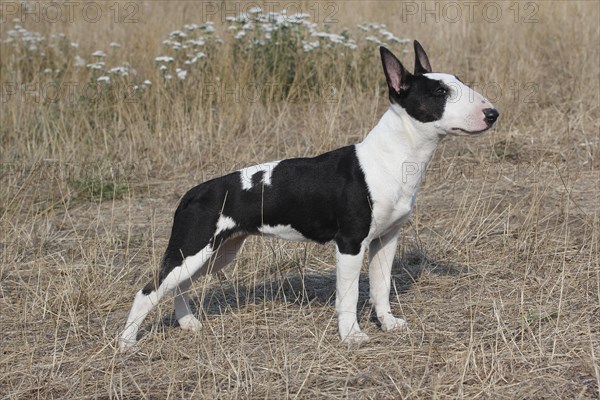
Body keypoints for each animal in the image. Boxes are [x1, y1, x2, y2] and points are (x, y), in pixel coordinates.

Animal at [117, 40, 496, 350]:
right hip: (192, 250)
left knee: (179, 287)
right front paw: (352, 336)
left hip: (216, 253)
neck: (393, 156)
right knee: (148, 291)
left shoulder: (386, 240)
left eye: (460, 82)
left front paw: (388, 324)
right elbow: (348, 296)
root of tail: (192, 194)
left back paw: (189, 324)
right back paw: (126, 342)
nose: (493, 114)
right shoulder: (350, 244)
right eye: (441, 92)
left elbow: (381, 287)